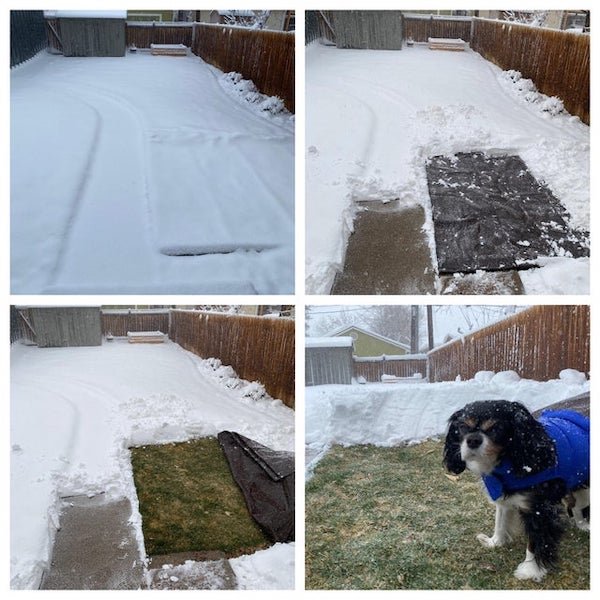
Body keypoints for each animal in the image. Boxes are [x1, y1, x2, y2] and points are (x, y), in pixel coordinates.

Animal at [442, 398, 588, 580]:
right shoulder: (504, 498)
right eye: (462, 427)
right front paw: (494, 542)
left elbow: (534, 542)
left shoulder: (538, 509)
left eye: (496, 428)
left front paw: (530, 570)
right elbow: (500, 521)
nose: (473, 440)